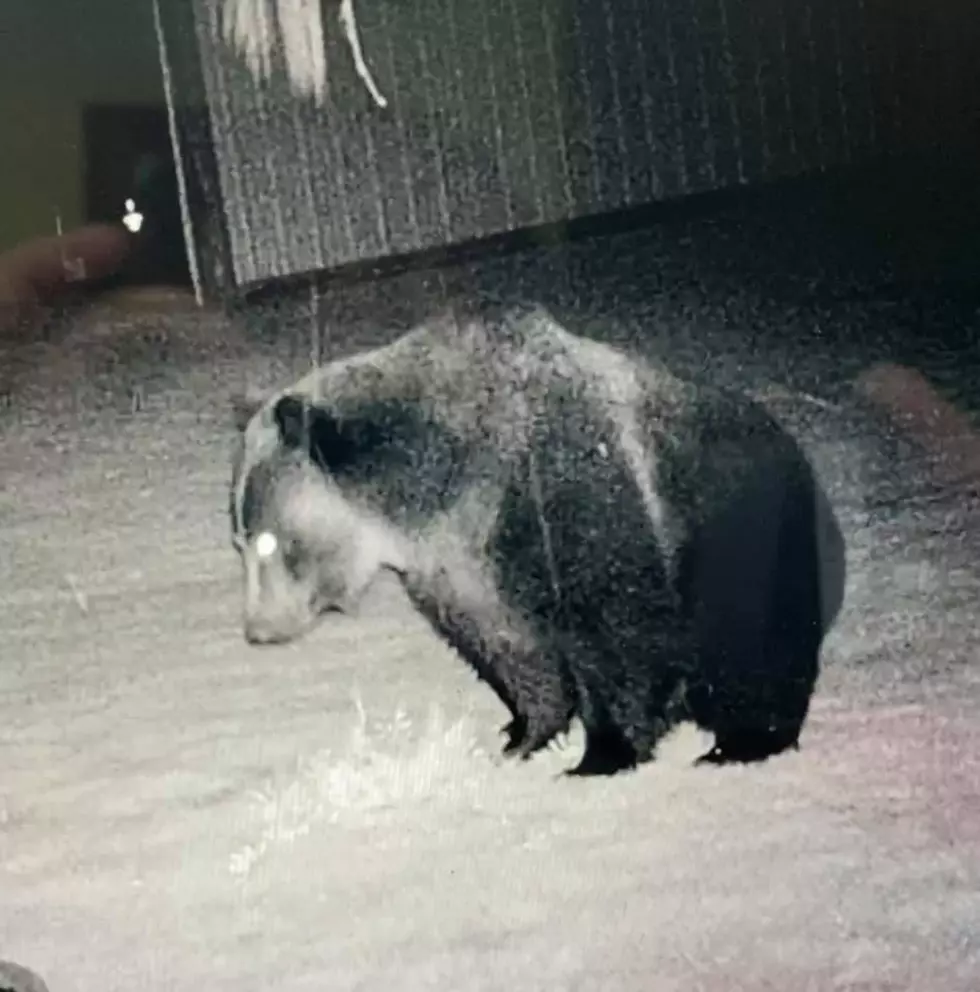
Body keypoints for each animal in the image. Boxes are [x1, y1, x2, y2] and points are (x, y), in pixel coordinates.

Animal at [228, 300, 846, 777]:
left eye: (268, 540)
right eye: (240, 539)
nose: (258, 630)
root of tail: (803, 460)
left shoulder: (563, 503)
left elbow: (613, 638)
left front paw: (602, 755)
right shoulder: (462, 563)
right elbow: (510, 649)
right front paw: (523, 734)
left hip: (748, 546)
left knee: (755, 658)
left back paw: (740, 744)